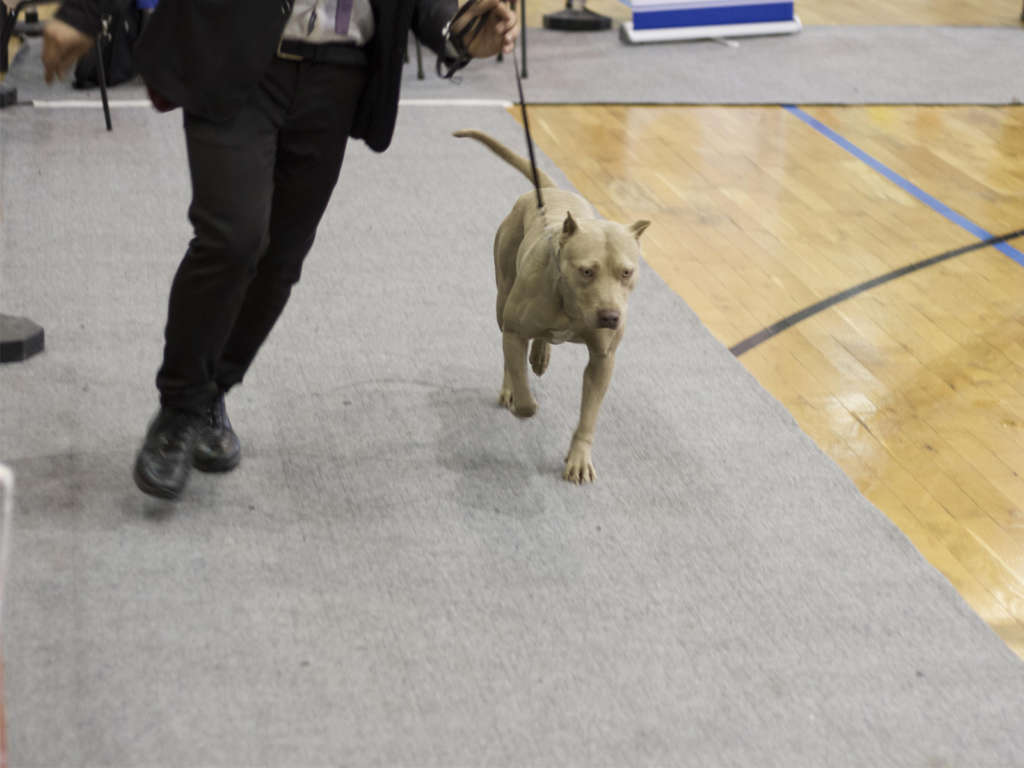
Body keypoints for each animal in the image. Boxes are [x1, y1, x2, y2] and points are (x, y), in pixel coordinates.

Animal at [454, 129, 647, 483]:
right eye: (587, 271)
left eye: (626, 272)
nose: (610, 316)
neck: (569, 304)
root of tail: (550, 191)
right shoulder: (515, 329)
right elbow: (520, 379)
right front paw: (523, 403)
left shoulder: (603, 359)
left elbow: (589, 415)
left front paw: (579, 458)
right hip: (503, 297)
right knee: (509, 350)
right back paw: (513, 385)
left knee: (540, 340)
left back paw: (541, 354)